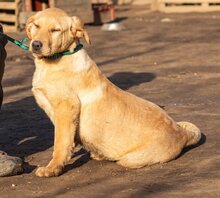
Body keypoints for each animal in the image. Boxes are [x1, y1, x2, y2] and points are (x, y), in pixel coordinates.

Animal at [25, 8, 201, 178]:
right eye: (37, 26)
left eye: (55, 30)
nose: (36, 45)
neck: (55, 60)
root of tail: (182, 133)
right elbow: (67, 141)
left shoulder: (66, 107)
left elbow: (60, 143)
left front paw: (52, 168)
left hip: (130, 158)